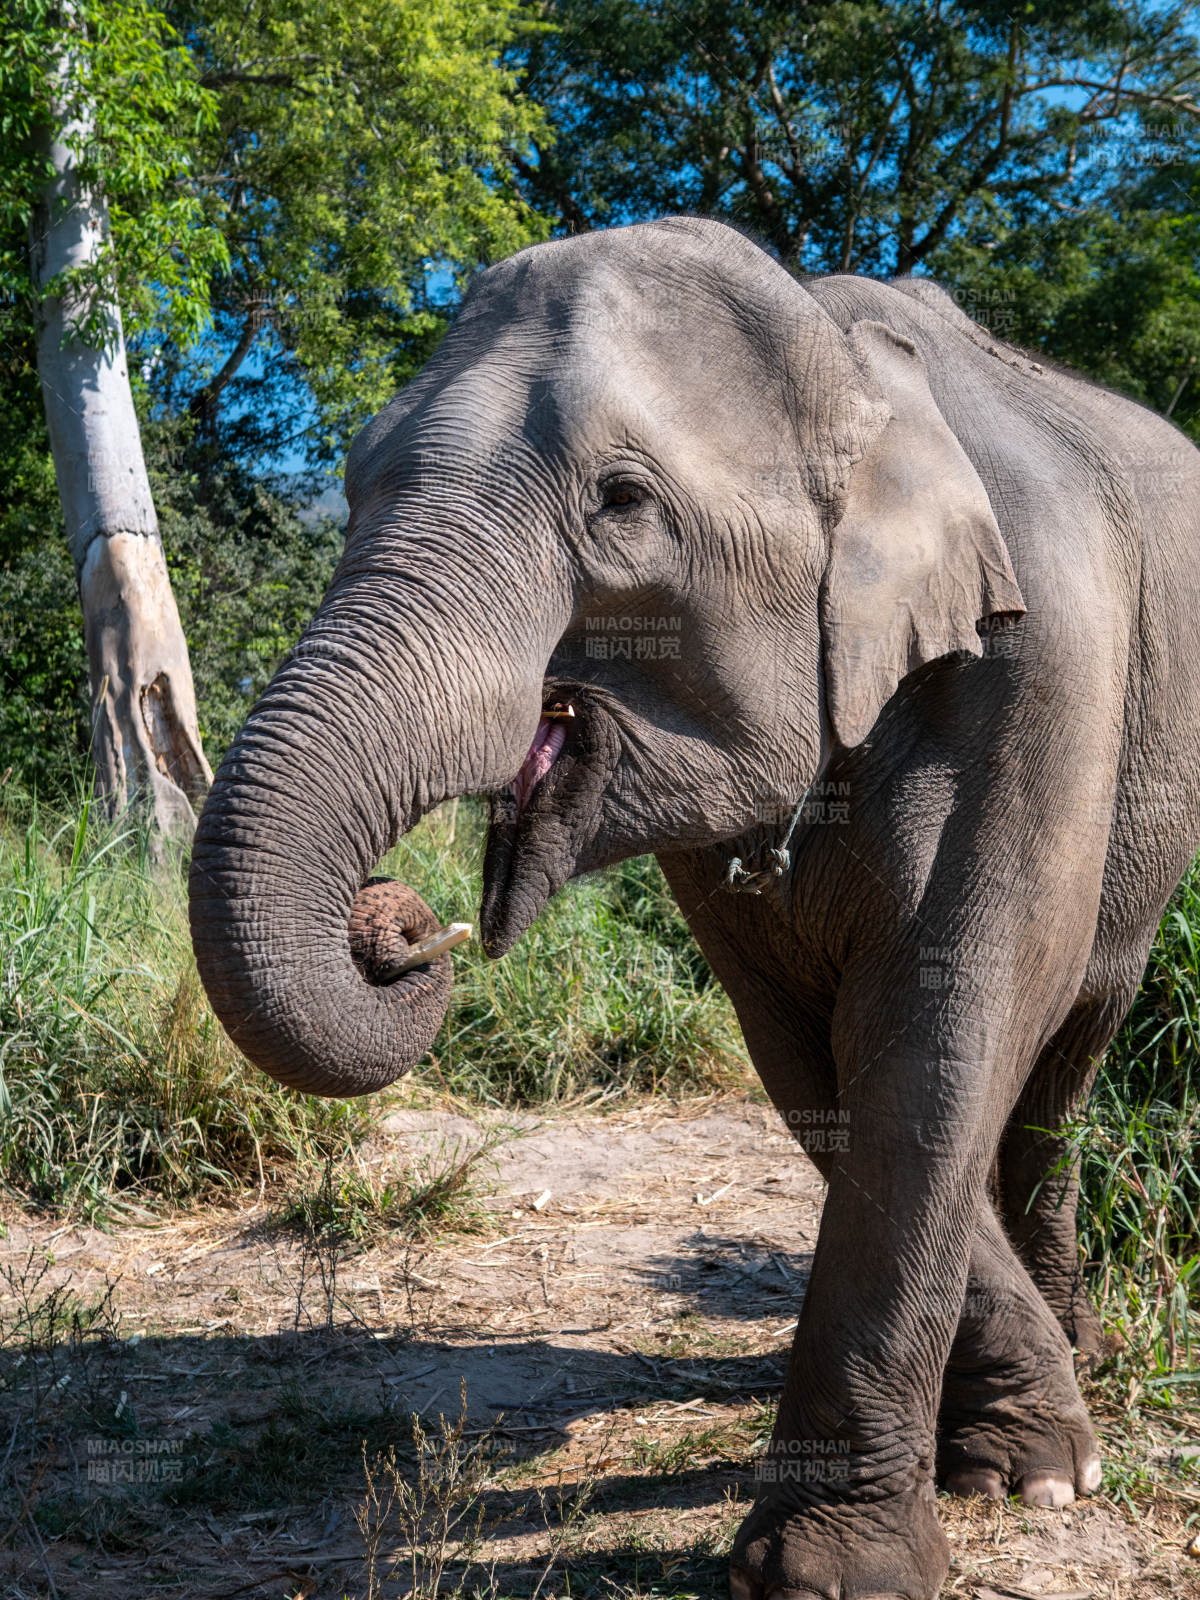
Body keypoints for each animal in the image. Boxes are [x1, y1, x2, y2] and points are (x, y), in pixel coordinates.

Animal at [189, 216, 1200, 1599]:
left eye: (622, 502)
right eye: (348, 483)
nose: (403, 926)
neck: (842, 355)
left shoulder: (1042, 665)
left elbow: (946, 1027)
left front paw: (911, 1536)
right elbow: (815, 1062)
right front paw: (996, 1456)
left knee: (1066, 1057)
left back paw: (1084, 1351)